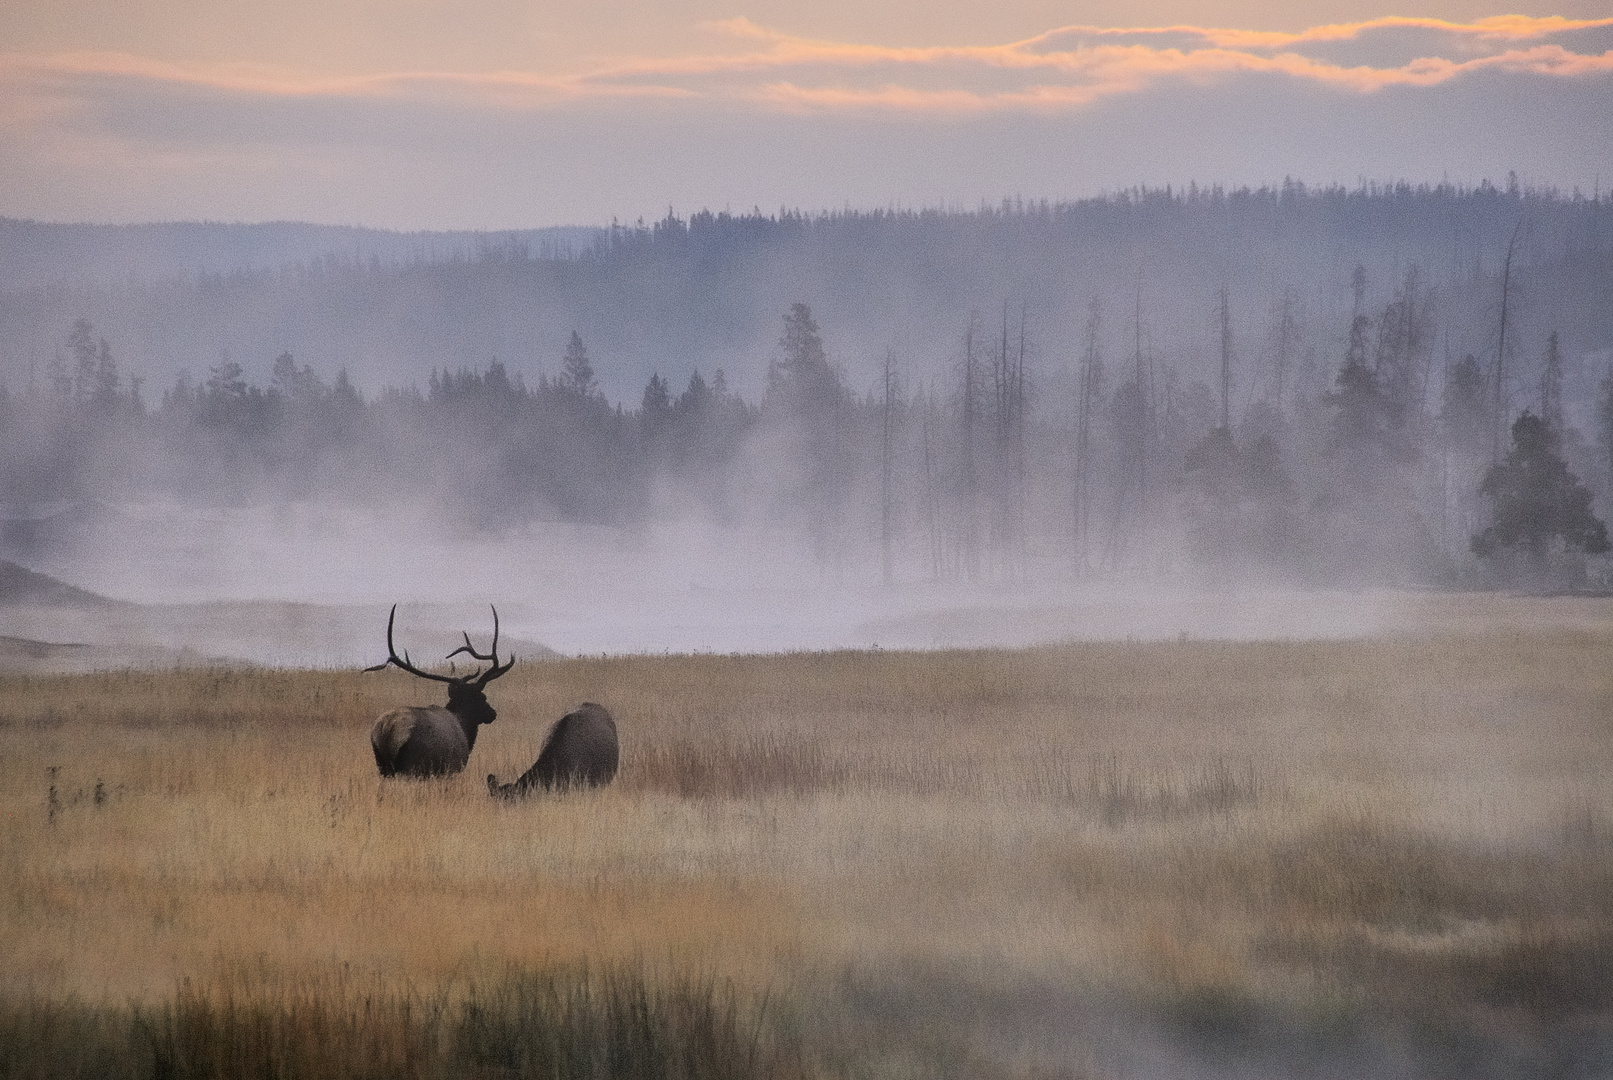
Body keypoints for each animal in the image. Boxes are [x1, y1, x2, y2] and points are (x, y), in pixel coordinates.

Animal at [367, 609, 512, 780]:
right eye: (483, 697)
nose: (492, 713)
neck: (464, 728)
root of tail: (386, 731)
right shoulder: (453, 766)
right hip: (411, 767)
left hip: (382, 766)